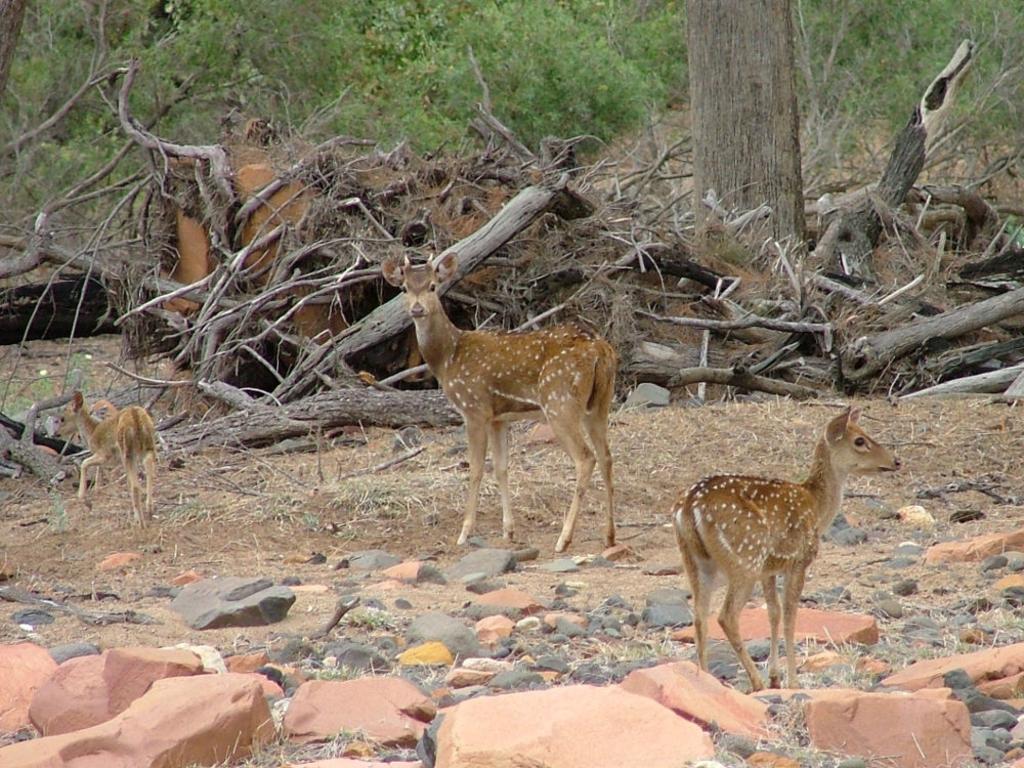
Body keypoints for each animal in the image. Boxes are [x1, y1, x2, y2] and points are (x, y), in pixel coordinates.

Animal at [58, 391, 156, 528]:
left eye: (62, 418)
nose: (56, 433)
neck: (91, 432)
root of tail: (135, 416)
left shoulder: (104, 454)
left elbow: (84, 463)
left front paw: (87, 502)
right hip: (148, 446)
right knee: (149, 473)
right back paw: (149, 510)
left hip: (127, 452)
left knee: (135, 486)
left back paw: (140, 522)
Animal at [380, 253, 610, 552]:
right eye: (405, 288)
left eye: (432, 286)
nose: (417, 309)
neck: (448, 358)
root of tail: (600, 350)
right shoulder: (499, 417)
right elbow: (501, 468)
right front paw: (508, 531)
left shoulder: (474, 408)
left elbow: (476, 469)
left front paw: (465, 533)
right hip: (599, 404)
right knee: (607, 457)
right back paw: (609, 536)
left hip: (559, 402)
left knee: (586, 458)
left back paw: (563, 539)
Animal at [675, 409, 901, 692]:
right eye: (860, 440)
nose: (896, 461)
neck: (817, 507)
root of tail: (689, 506)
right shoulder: (799, 560)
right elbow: (791, 615)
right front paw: (793, 680)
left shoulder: (770, 569)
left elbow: (773, 612)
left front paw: (776, 677)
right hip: (745, 558)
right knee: (726, 616)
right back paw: (755, 682)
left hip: (697, 562)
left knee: (699, 616)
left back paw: (705, 678)